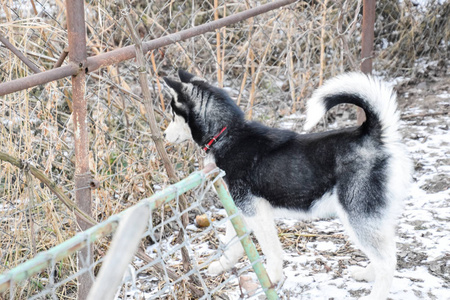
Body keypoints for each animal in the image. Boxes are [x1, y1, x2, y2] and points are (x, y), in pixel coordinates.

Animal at [163, 69, 414, 298]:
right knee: (387, 252)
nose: (164, 136)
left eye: (173, 114)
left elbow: (272, 251)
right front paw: (221, 265)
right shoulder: (240, 207)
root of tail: (372, 135)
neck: (227, 134)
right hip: (374, 216)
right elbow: (233, 241)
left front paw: (271, 279)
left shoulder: (256, 211)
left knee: (387, 261)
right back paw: (367, 273)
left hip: (357, 215)